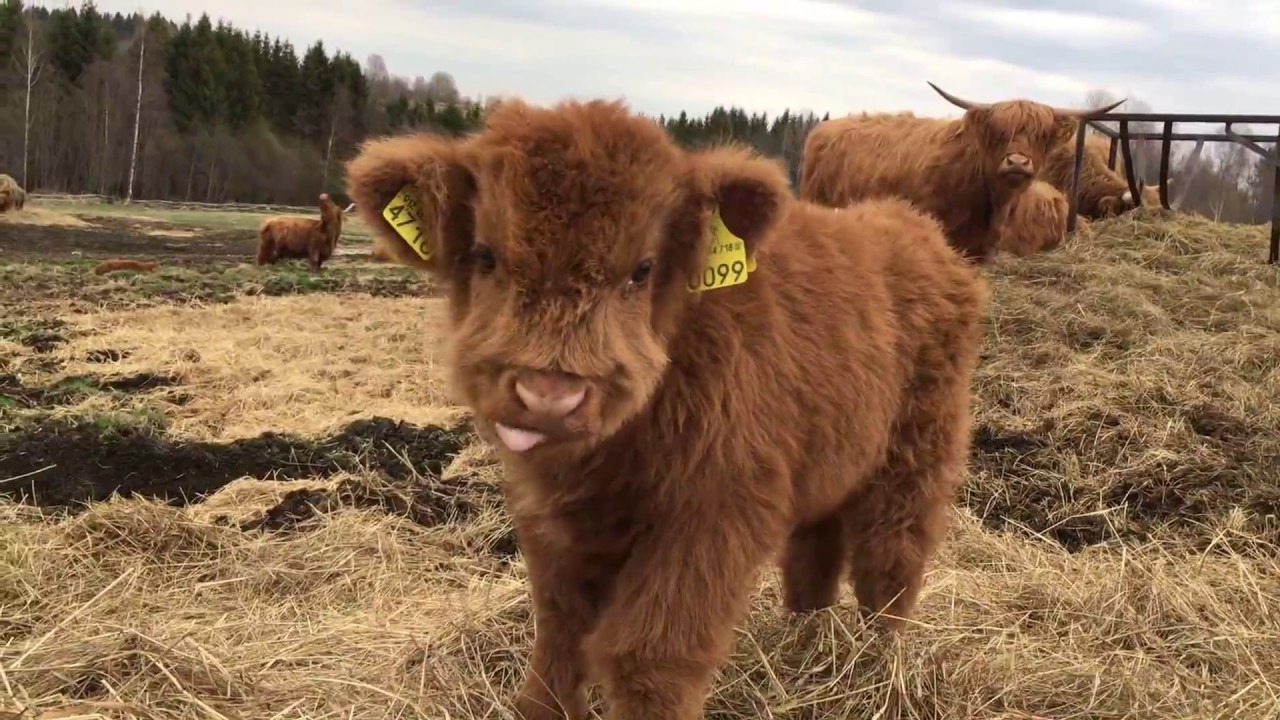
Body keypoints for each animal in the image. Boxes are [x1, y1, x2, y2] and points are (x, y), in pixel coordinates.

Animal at [344, 97, 989, 720]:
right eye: (485, 256)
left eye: (642, 269)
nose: (550, 396)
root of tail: (919, 230)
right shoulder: (554, 518)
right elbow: (559, 632)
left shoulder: (713, 515)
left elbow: (650, 656)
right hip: (833, 456)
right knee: (816, 552)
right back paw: (808, 641)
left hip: (917, 452)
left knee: (892, 559)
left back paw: (880, 667)